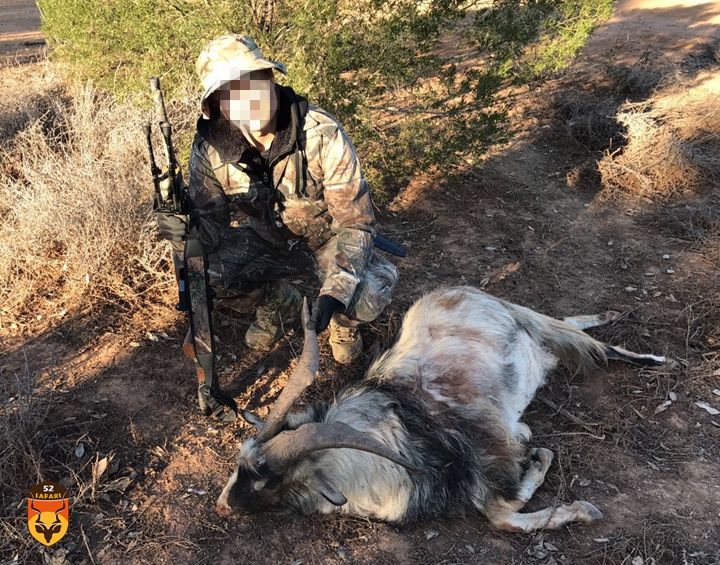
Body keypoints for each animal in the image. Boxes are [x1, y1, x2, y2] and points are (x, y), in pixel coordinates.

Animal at [217, 286, 672, 528]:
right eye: (239, 463)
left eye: (267, 480)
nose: (222, 504)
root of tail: (458, 294)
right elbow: (501, 509)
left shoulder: (489, 452)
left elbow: (501, 511)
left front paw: (576, 501)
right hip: (529, 325)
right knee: (567, 327)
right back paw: (609, 314)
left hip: (524, 317)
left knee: (585, 341)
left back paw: (661, 360)